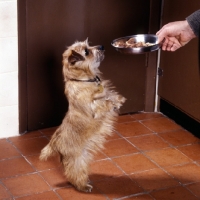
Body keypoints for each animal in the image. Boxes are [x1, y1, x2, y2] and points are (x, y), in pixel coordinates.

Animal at [39, 38, 126, 192]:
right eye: (86, 51)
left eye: (89, 46)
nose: (101, 46)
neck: (84, 80)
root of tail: (54, 143)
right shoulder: (93, 107)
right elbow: (103, 102)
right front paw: (113, 103)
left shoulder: (104, 90)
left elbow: (109, 94)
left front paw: (119, 99)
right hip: (77, 160)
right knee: (74, 174)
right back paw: (83, 186)